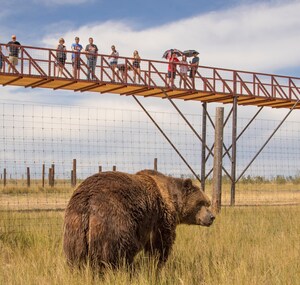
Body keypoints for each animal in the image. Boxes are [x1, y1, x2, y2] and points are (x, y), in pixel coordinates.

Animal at [63, 169, 214, 268]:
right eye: (201, 203)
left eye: (208, 202)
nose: (212, 217)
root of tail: (88, 202)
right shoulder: (160, 218)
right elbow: (159, 244)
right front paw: (157, 263)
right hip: (114, 220)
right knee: (118, 251)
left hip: (75, 227)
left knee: (76, 256)